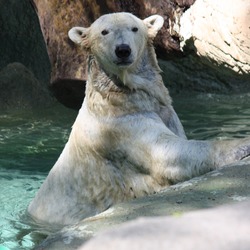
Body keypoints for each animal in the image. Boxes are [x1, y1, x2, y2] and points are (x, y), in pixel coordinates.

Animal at [27, 12, 250, 226]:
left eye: (134, 28)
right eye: (104, 32)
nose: (123, 50)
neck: (120, 96)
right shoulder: (120, 128)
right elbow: (169, 154)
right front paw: (243, 144)